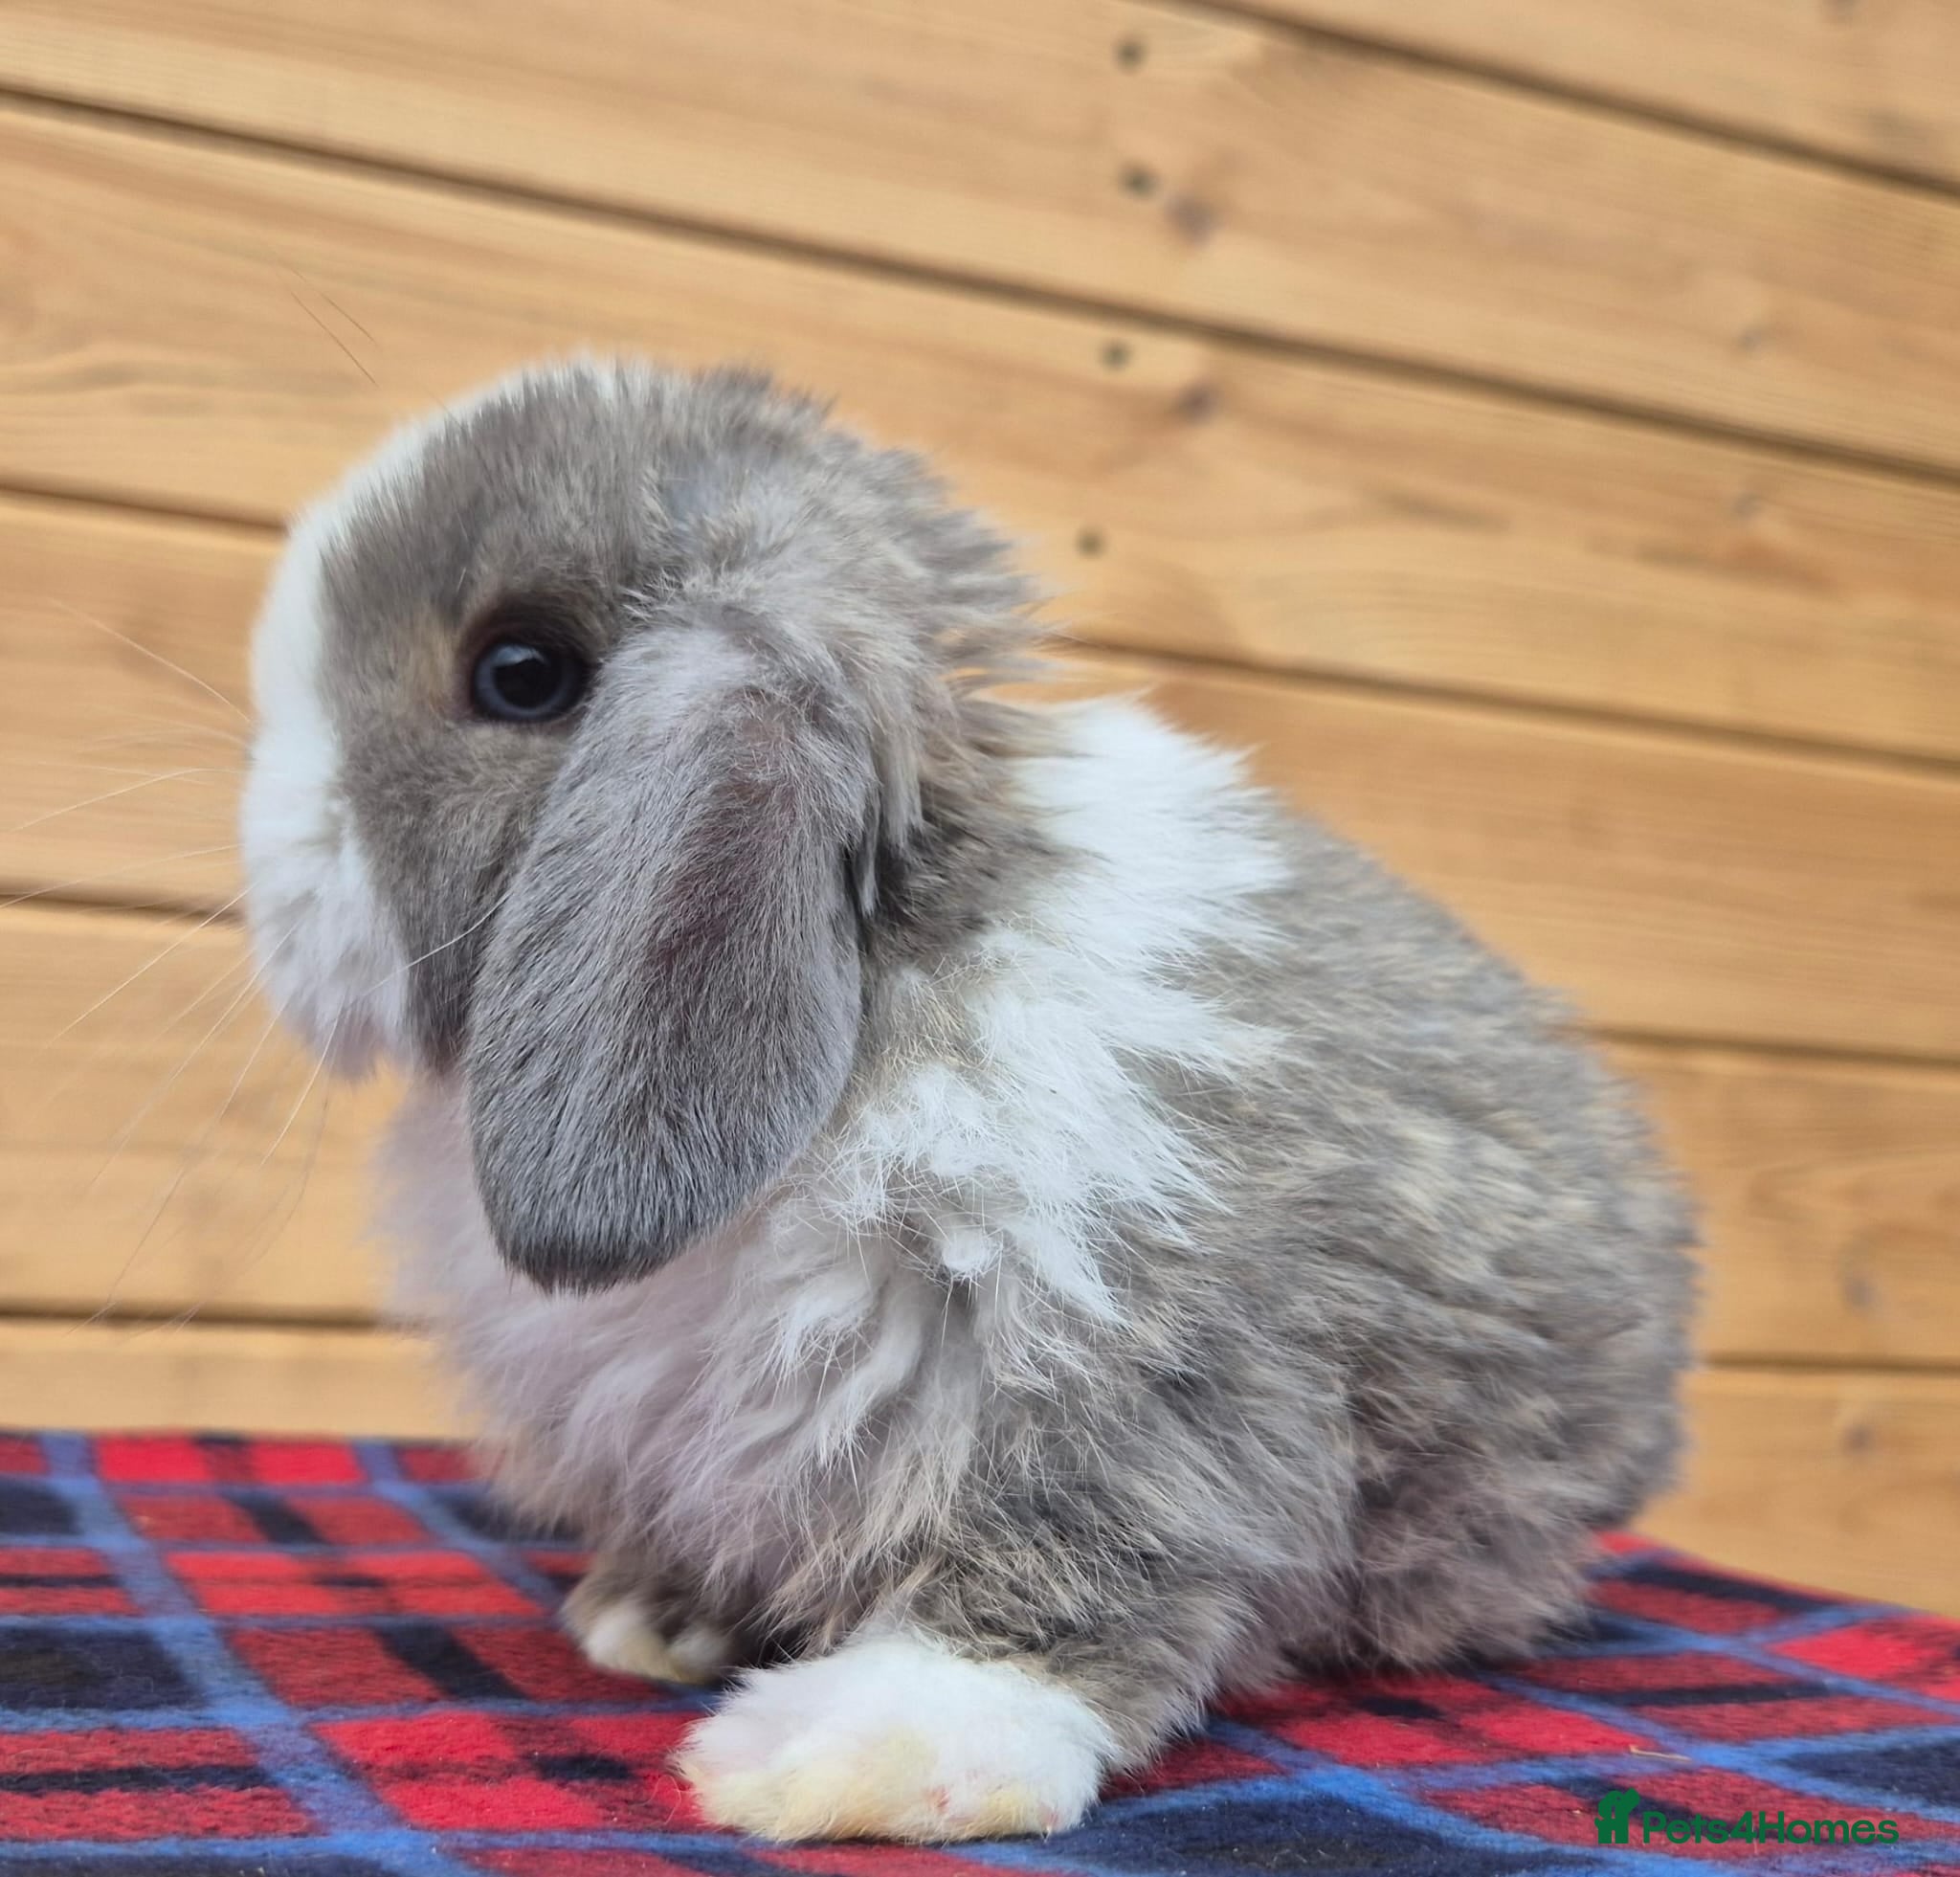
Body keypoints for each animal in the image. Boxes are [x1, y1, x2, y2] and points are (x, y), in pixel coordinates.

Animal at [241, 358, 1695, 1843]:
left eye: (519, 674)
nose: (269, 869)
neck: (891, 976)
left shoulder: (1149, 1367)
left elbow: (1081, 1562)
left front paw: (842, 1751)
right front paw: (647, 1621)